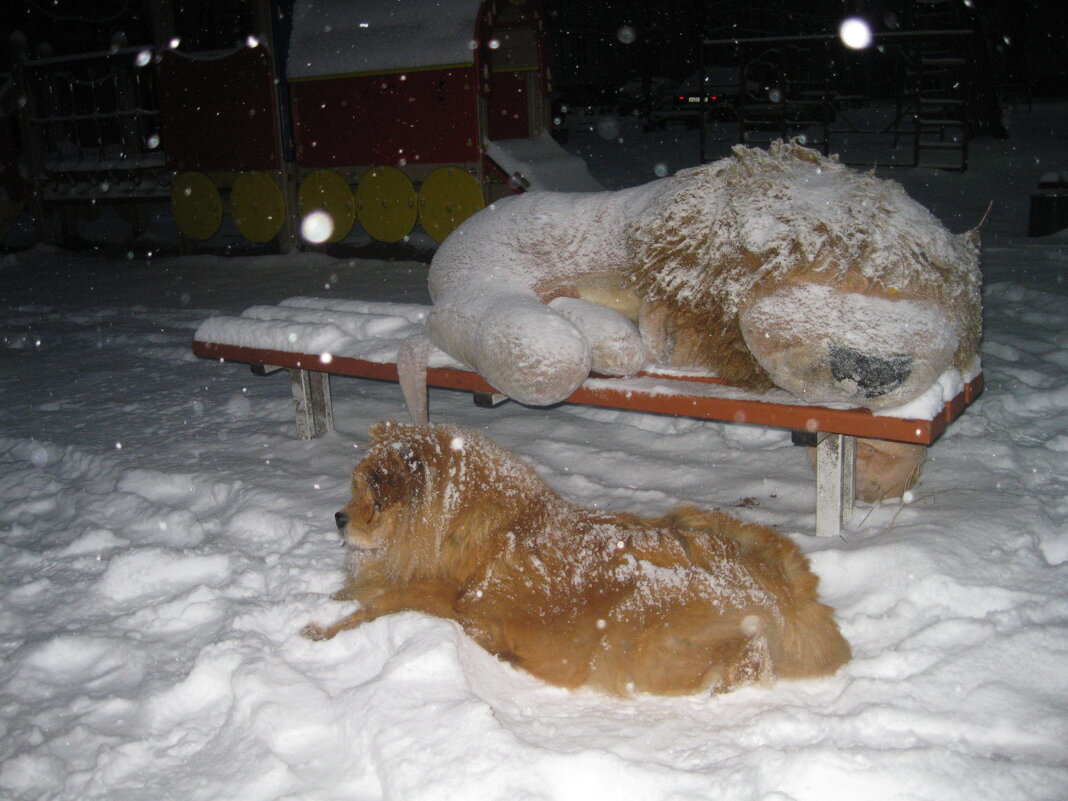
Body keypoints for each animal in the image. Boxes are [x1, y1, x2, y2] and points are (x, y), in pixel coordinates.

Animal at [303, 422, 850, 692]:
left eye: (372, 498)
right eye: (354, 489)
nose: (337, 517)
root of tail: (783, 584)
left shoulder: (433, 602)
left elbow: (369, 611)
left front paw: (319, 631)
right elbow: (358, 596)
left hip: (643, 640)